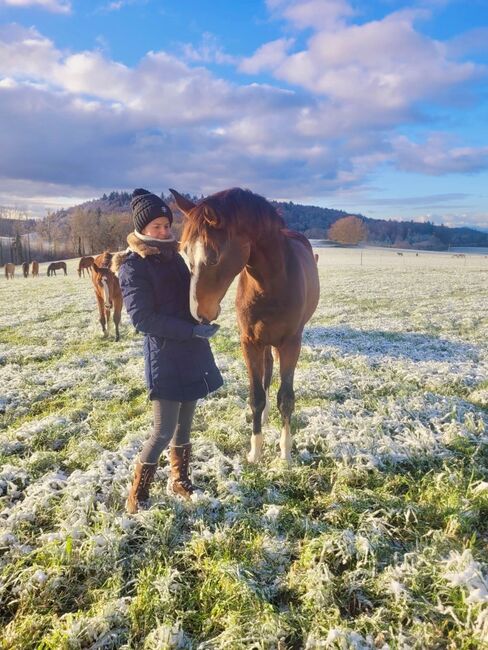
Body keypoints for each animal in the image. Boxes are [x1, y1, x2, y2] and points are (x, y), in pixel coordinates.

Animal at [173, 185, 320, 464]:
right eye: (184, 253)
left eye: (213, 258)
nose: (198, 313)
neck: (271, 284)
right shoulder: (249, 342)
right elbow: (256, 396)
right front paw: (255, 451)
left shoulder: (290, 344)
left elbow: (286, 398)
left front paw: (285, 452)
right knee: (267, 373)